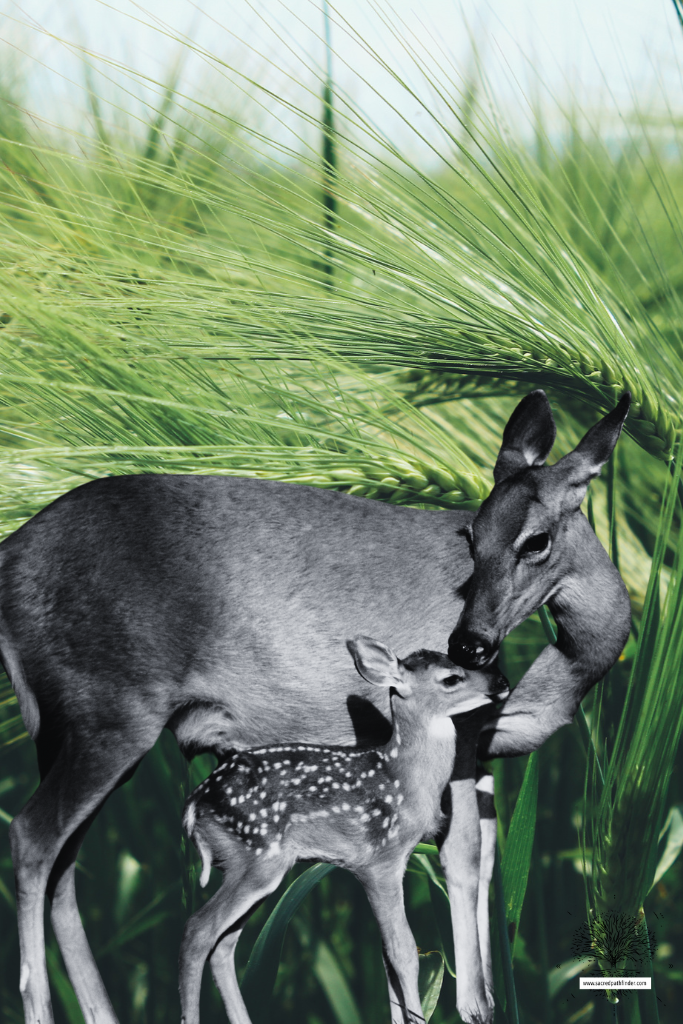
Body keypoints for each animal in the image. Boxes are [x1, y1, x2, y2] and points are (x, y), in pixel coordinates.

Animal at [1, 389, 630, 1024]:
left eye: (536, 540)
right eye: (472, 537)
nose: (471, 644)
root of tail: (9, 555)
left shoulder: (473, 763)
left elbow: (481, 866)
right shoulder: (455, 747)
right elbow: (461, 866)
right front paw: (473, 1006)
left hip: (66, 730)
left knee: (66, 866)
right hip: (112, 714)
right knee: (34, 836)